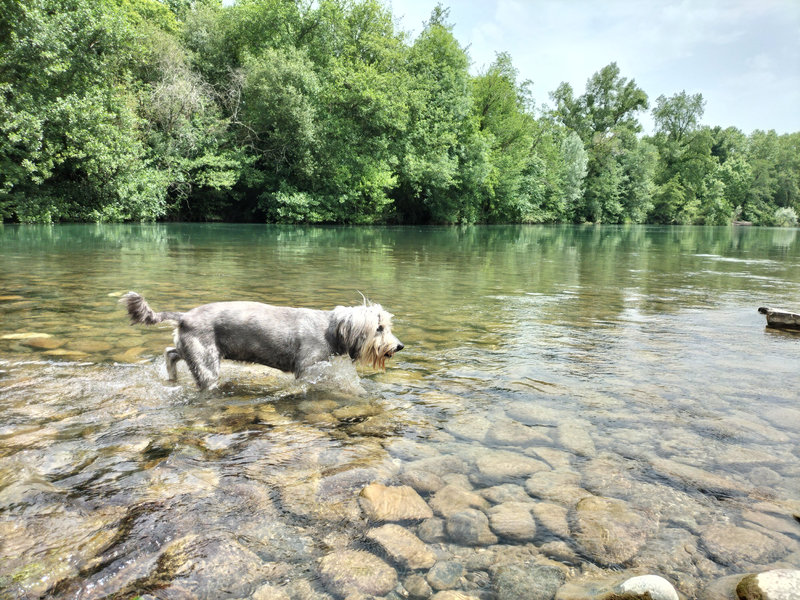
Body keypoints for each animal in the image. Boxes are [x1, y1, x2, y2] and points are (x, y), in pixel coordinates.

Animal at [121, 292, 404, 392]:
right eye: (378, 328)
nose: (399, 346)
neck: (331, 330)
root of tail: (184, 316)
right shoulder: (306, 370)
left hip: (190, 349)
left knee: (170, 352)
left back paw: (171, 375)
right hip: (206, 361)